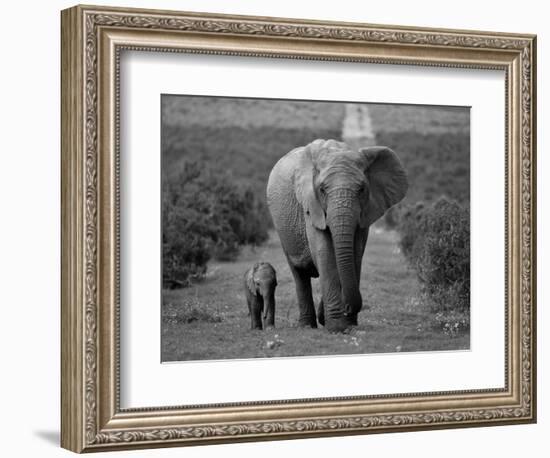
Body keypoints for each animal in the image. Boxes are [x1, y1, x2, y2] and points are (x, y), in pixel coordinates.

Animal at [268, 139, 410, 332]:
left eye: (362, 189)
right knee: (299, 274)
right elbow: (325, 253)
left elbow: (355, 254)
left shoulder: (365, 212)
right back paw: (307, 326)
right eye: (321, 189)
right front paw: (337, 327)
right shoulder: (311, 206)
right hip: (282, 229)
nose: (348, 308)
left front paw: (347, 323)